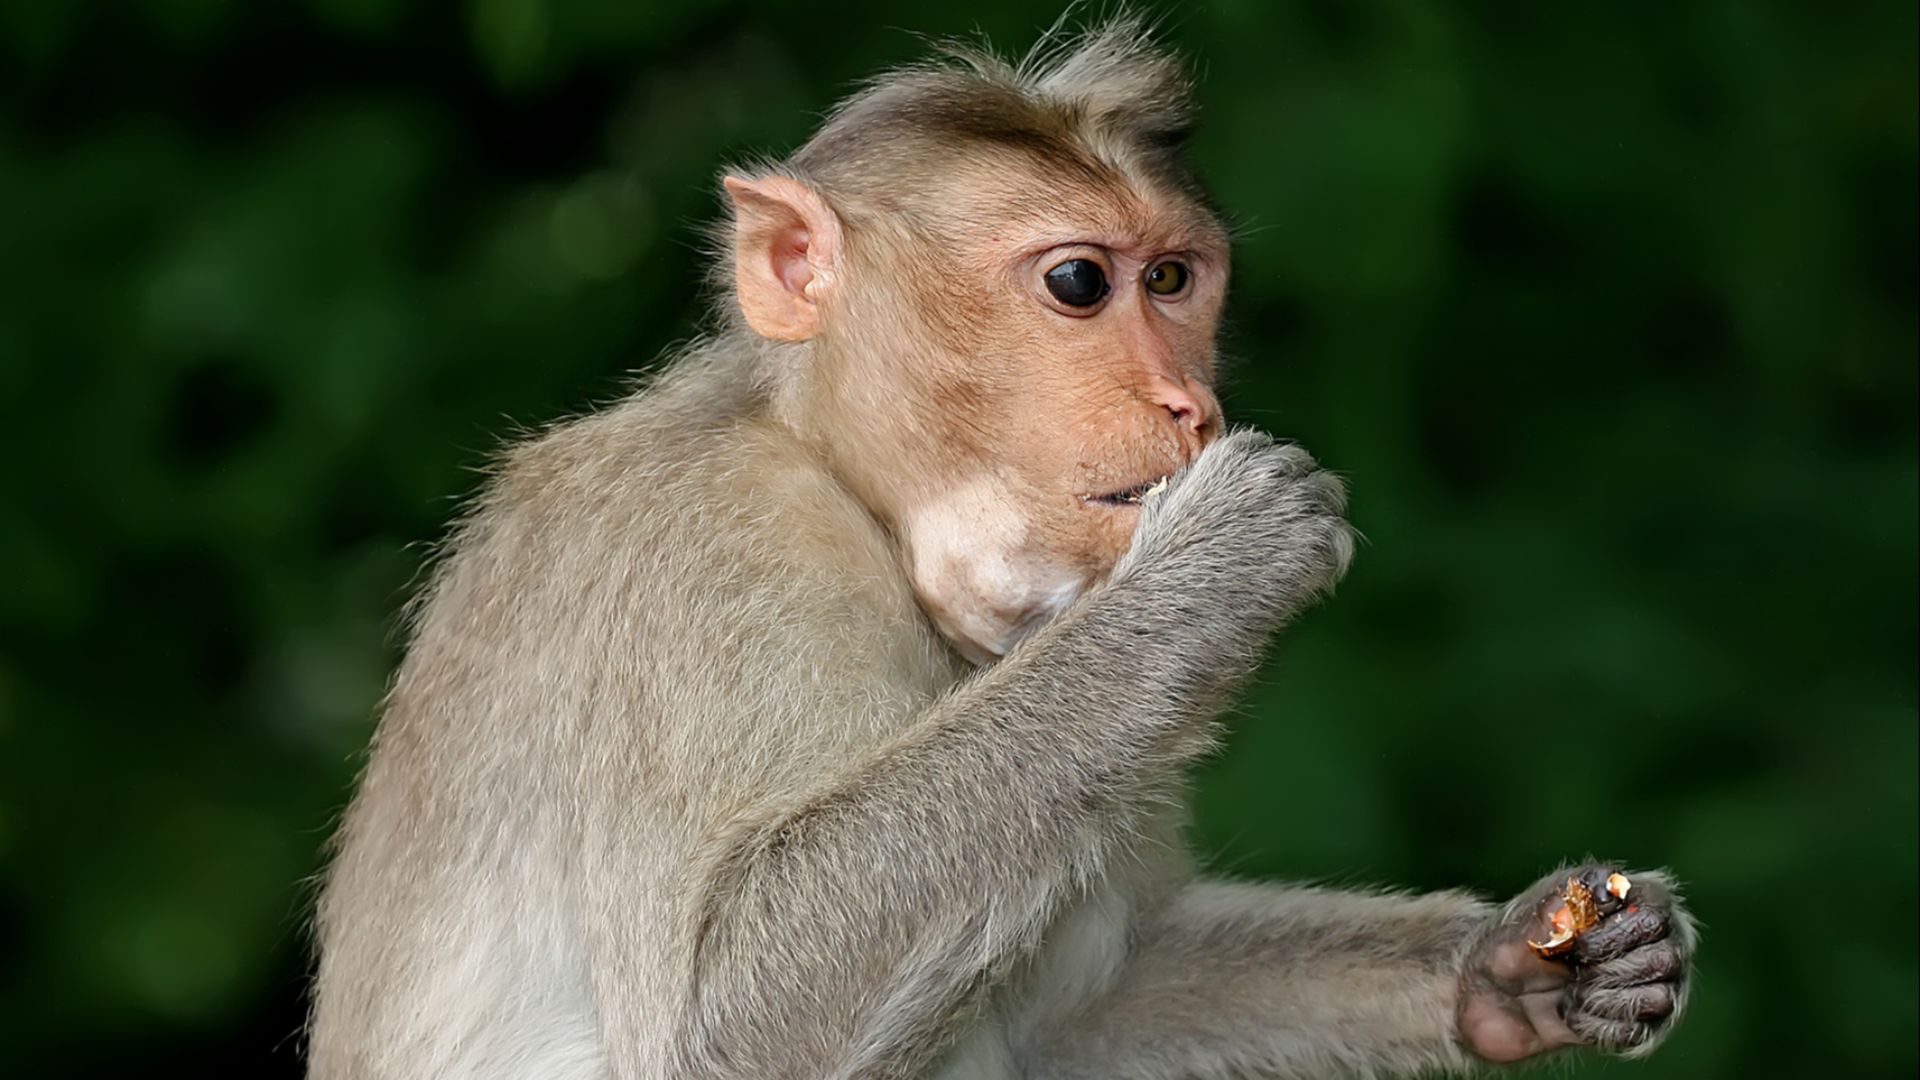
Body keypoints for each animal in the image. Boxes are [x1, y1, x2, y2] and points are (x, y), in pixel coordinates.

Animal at [307, 19, 1695, 1080]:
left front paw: (1504, 969)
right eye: (1080, 283)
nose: (1189, 406)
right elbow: (725, 1017)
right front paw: (1209, 572)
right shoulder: (708, 554)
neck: (856, 496)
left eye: (1175, 281)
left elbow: (1080, 1013)